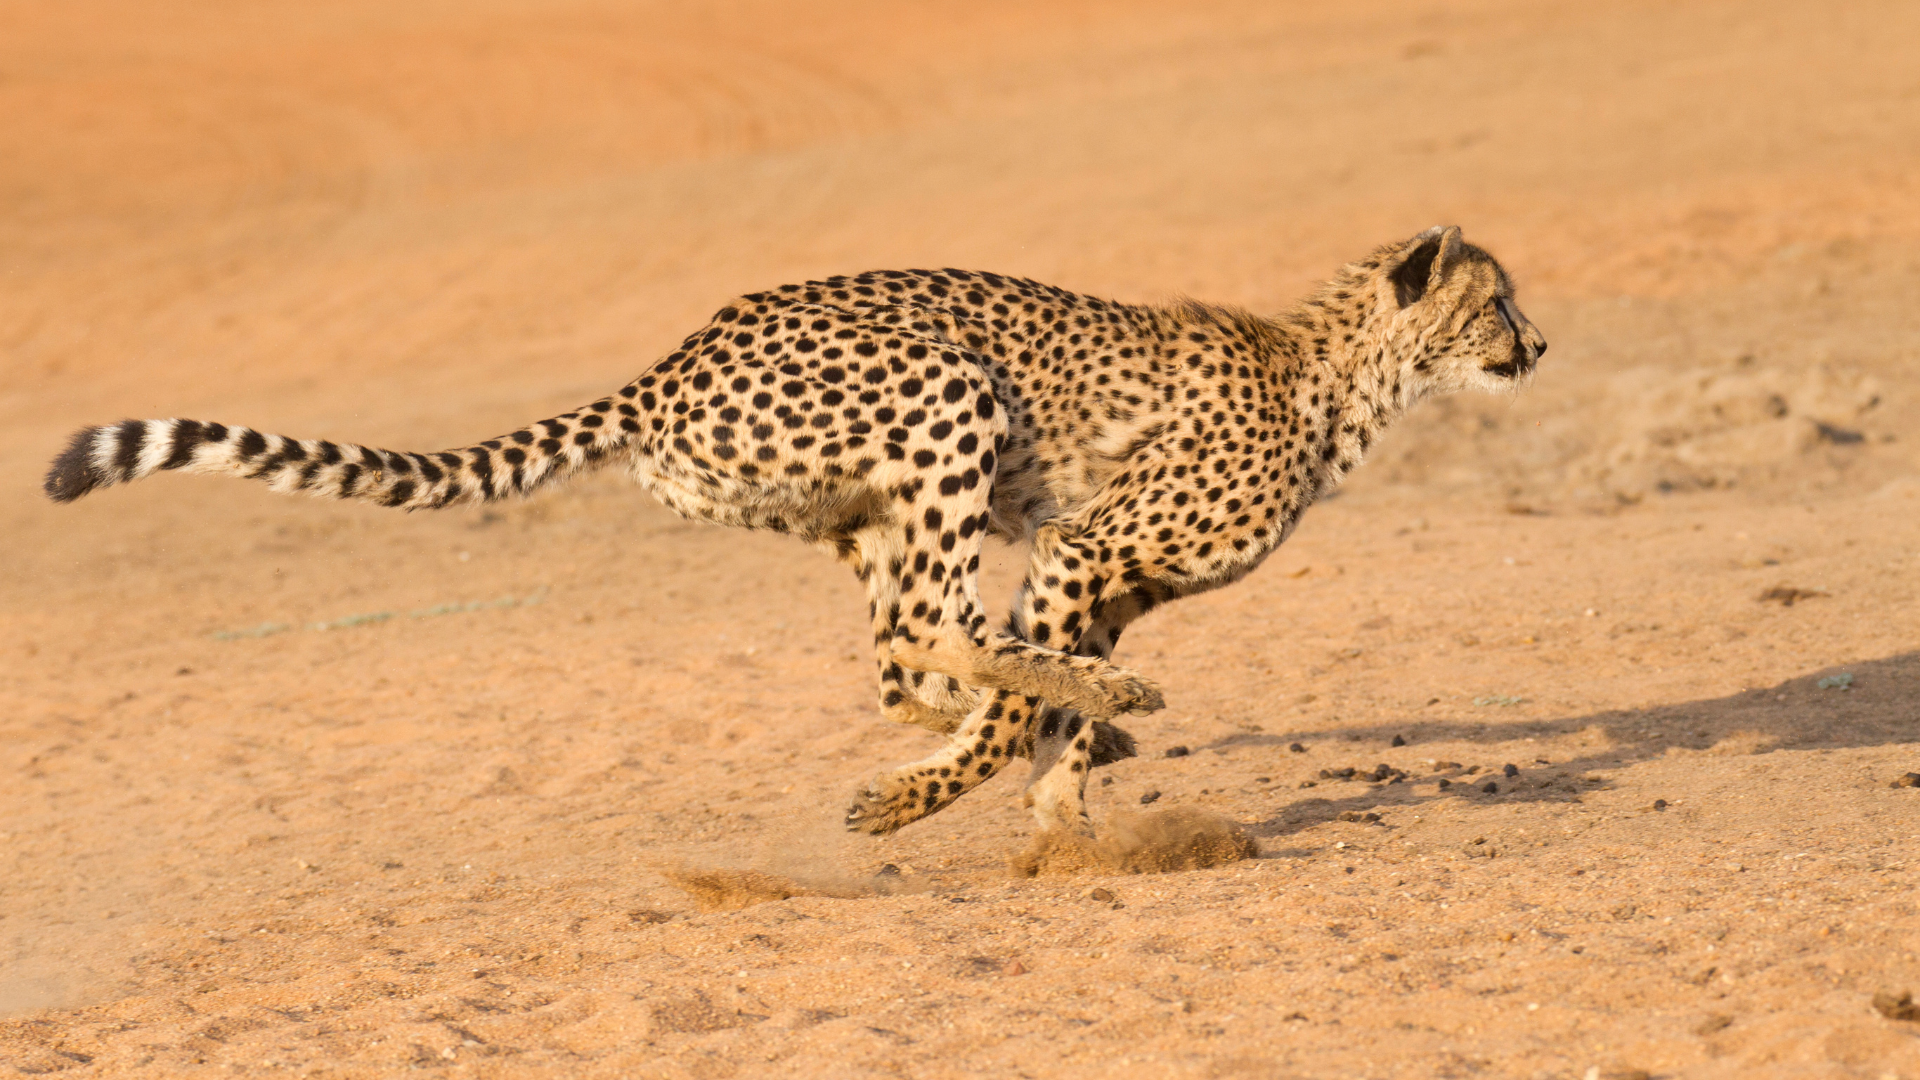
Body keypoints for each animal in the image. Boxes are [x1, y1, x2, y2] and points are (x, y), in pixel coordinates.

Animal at [41, 222, 1543, 837]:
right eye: (1496, 302)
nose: (1539, 345)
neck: (1341, 377)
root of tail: (675, 355)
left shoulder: (1101, 579)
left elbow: (1030, 705)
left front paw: (1060, 798)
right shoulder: (1079, 552)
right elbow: (1024, 698)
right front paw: (963, 795)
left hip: (863, 508)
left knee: (897, 654)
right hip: (946, 400)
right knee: (932, 630)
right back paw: (1047, 721)